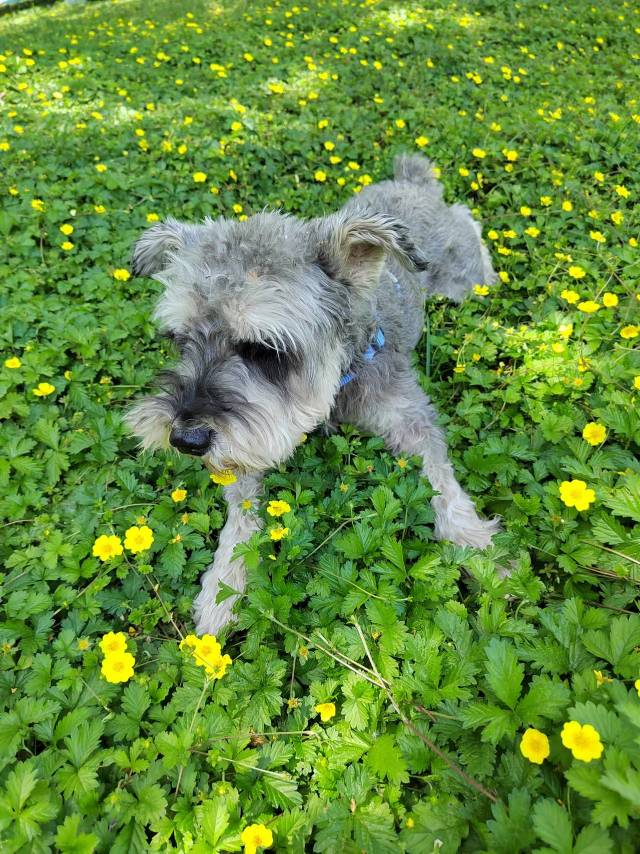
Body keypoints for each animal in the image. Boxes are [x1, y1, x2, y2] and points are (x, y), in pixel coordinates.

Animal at [127, 154, 500, 636]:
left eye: (264, 349)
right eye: (179, 339)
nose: (185, 440)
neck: (340, 377)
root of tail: (412, 182)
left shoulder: (408, 417)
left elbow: (442, 480)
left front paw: (479, 548)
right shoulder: (251, 441)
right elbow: (242, 514)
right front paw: (224, 585)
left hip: (460, 282)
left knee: (469, 228)